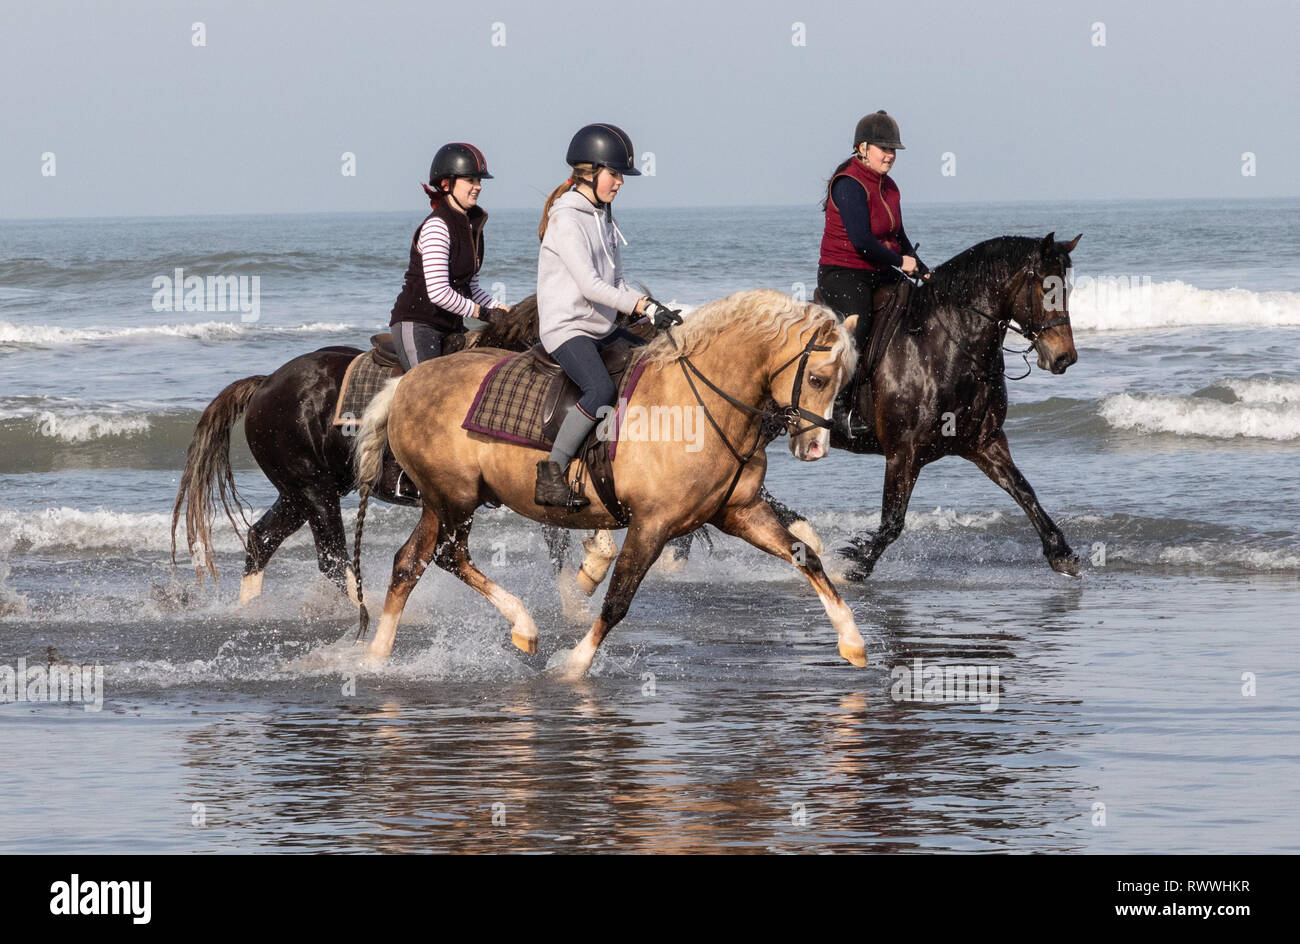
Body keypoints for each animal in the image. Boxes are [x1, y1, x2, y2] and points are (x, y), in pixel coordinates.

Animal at [353, 288, 863, 681]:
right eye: (817, 378)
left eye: (844, 382)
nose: (815, 448)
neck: (698, 405)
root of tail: (406, 383)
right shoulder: (651, 525)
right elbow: (617, 600)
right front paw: (574, 664)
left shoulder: (740, 513)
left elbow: (807, 556)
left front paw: (852, 639)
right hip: (456, 499)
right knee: (449, 556)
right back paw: (524, 626)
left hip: (440, 503)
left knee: (408, 564)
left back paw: (376, 656)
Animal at [832, 232, 1086, 579]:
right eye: (1046, 289)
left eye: (1067, 289)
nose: (1064, 357)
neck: (944, 346)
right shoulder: (903, 453)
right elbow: (892, 522)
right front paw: (854, 565)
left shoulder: (984, 442)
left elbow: (1023, 490)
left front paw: (1061, 553)